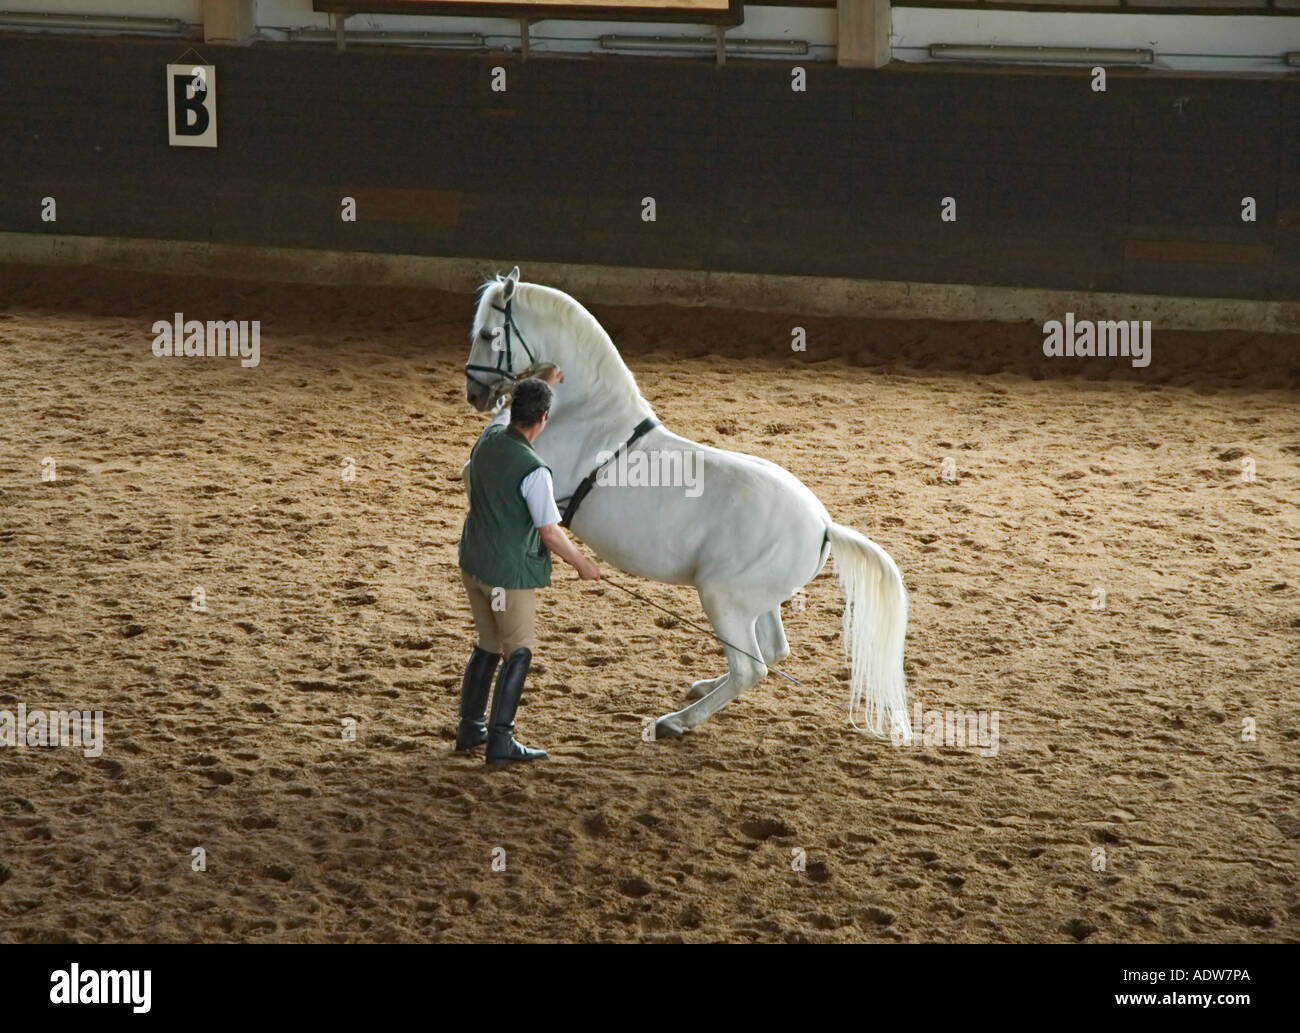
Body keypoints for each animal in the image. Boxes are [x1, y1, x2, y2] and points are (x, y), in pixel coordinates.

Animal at [467, 266, 915, 743]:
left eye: (490, 334)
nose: (473, 393)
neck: (589, 414)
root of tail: (825, 526)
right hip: (756, 602)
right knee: (772, 651)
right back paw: (701, 687)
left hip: (723, 598)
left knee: (751, 668)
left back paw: (675, 721)